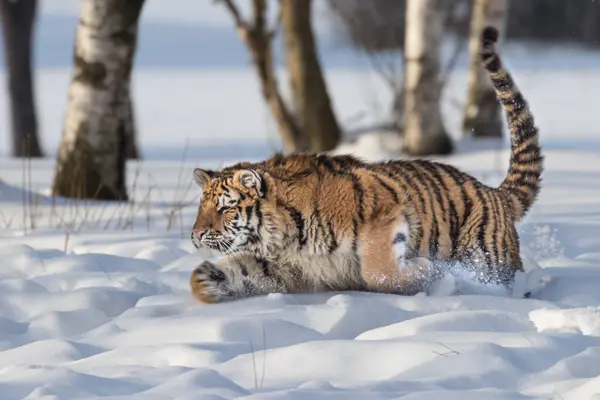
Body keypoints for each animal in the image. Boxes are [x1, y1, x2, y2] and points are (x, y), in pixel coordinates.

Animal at [189, 25, 544, 304]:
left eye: (225, 208)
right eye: (201, 207)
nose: (195, 235)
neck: (280, 238)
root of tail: (497, 194)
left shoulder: (384, 215)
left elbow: (379, 271)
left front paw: (428, 273)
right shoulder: (281, 265)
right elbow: (219, 275)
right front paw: (206, 278)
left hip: (487, 259)